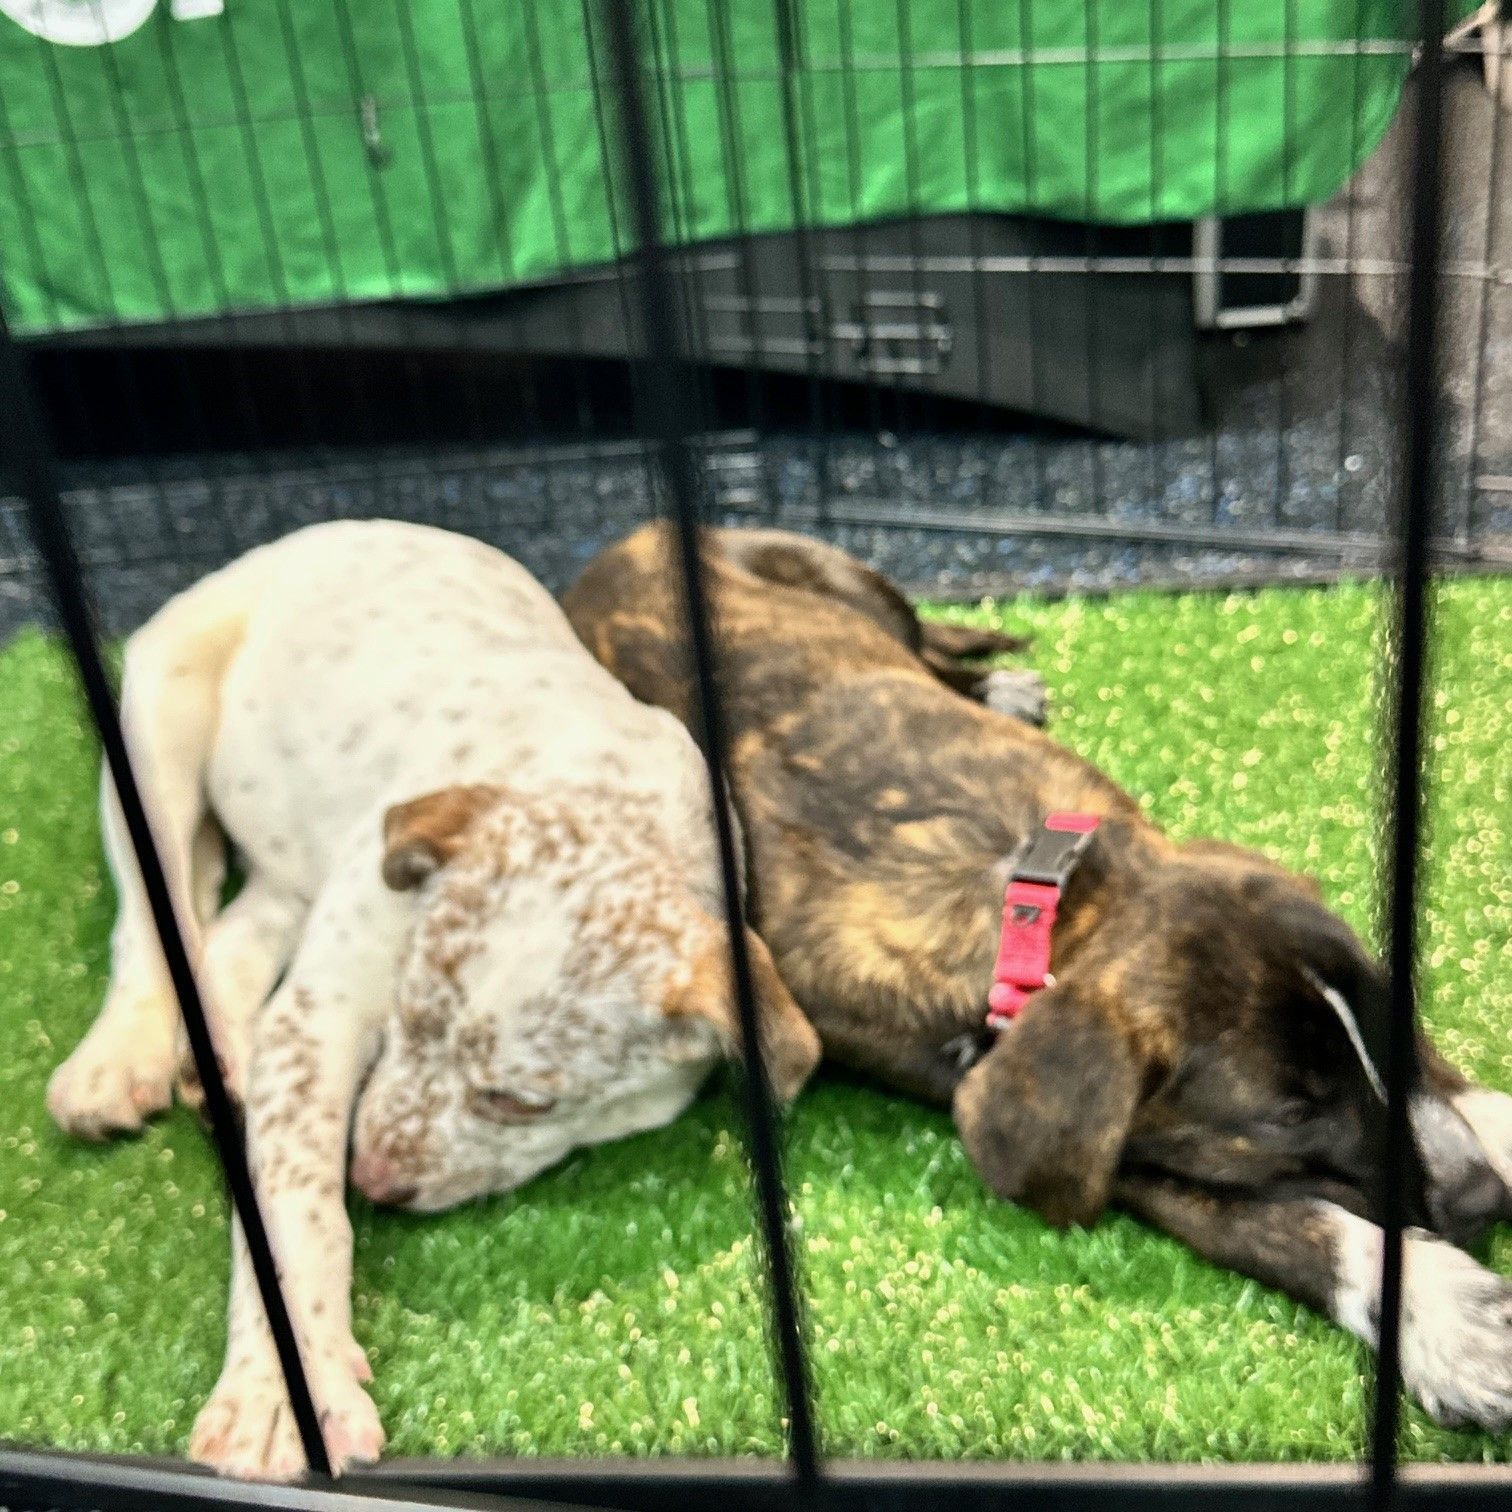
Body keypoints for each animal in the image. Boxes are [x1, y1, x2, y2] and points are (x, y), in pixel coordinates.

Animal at [47, 520, 822, 1475]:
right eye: (402, 1027)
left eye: (520, 1102)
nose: (374, 1180)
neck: (601, 800)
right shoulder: (318, 1018)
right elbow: (294, 1210)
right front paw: (283, 1391)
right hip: (154, 731)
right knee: (153, 917)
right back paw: (118, 1058)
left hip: (293, 861)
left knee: (231, 927)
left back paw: (216, 1052)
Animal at [568, 526, 1512, 1433]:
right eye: (1291, 1115)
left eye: (1401, 1017)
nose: (1481, 1198)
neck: (1062, 900)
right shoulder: (1105, 1154)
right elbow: (1285, 1221)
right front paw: (1446, 1318)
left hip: (854, 585)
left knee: (924, 640)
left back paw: (995, 682)